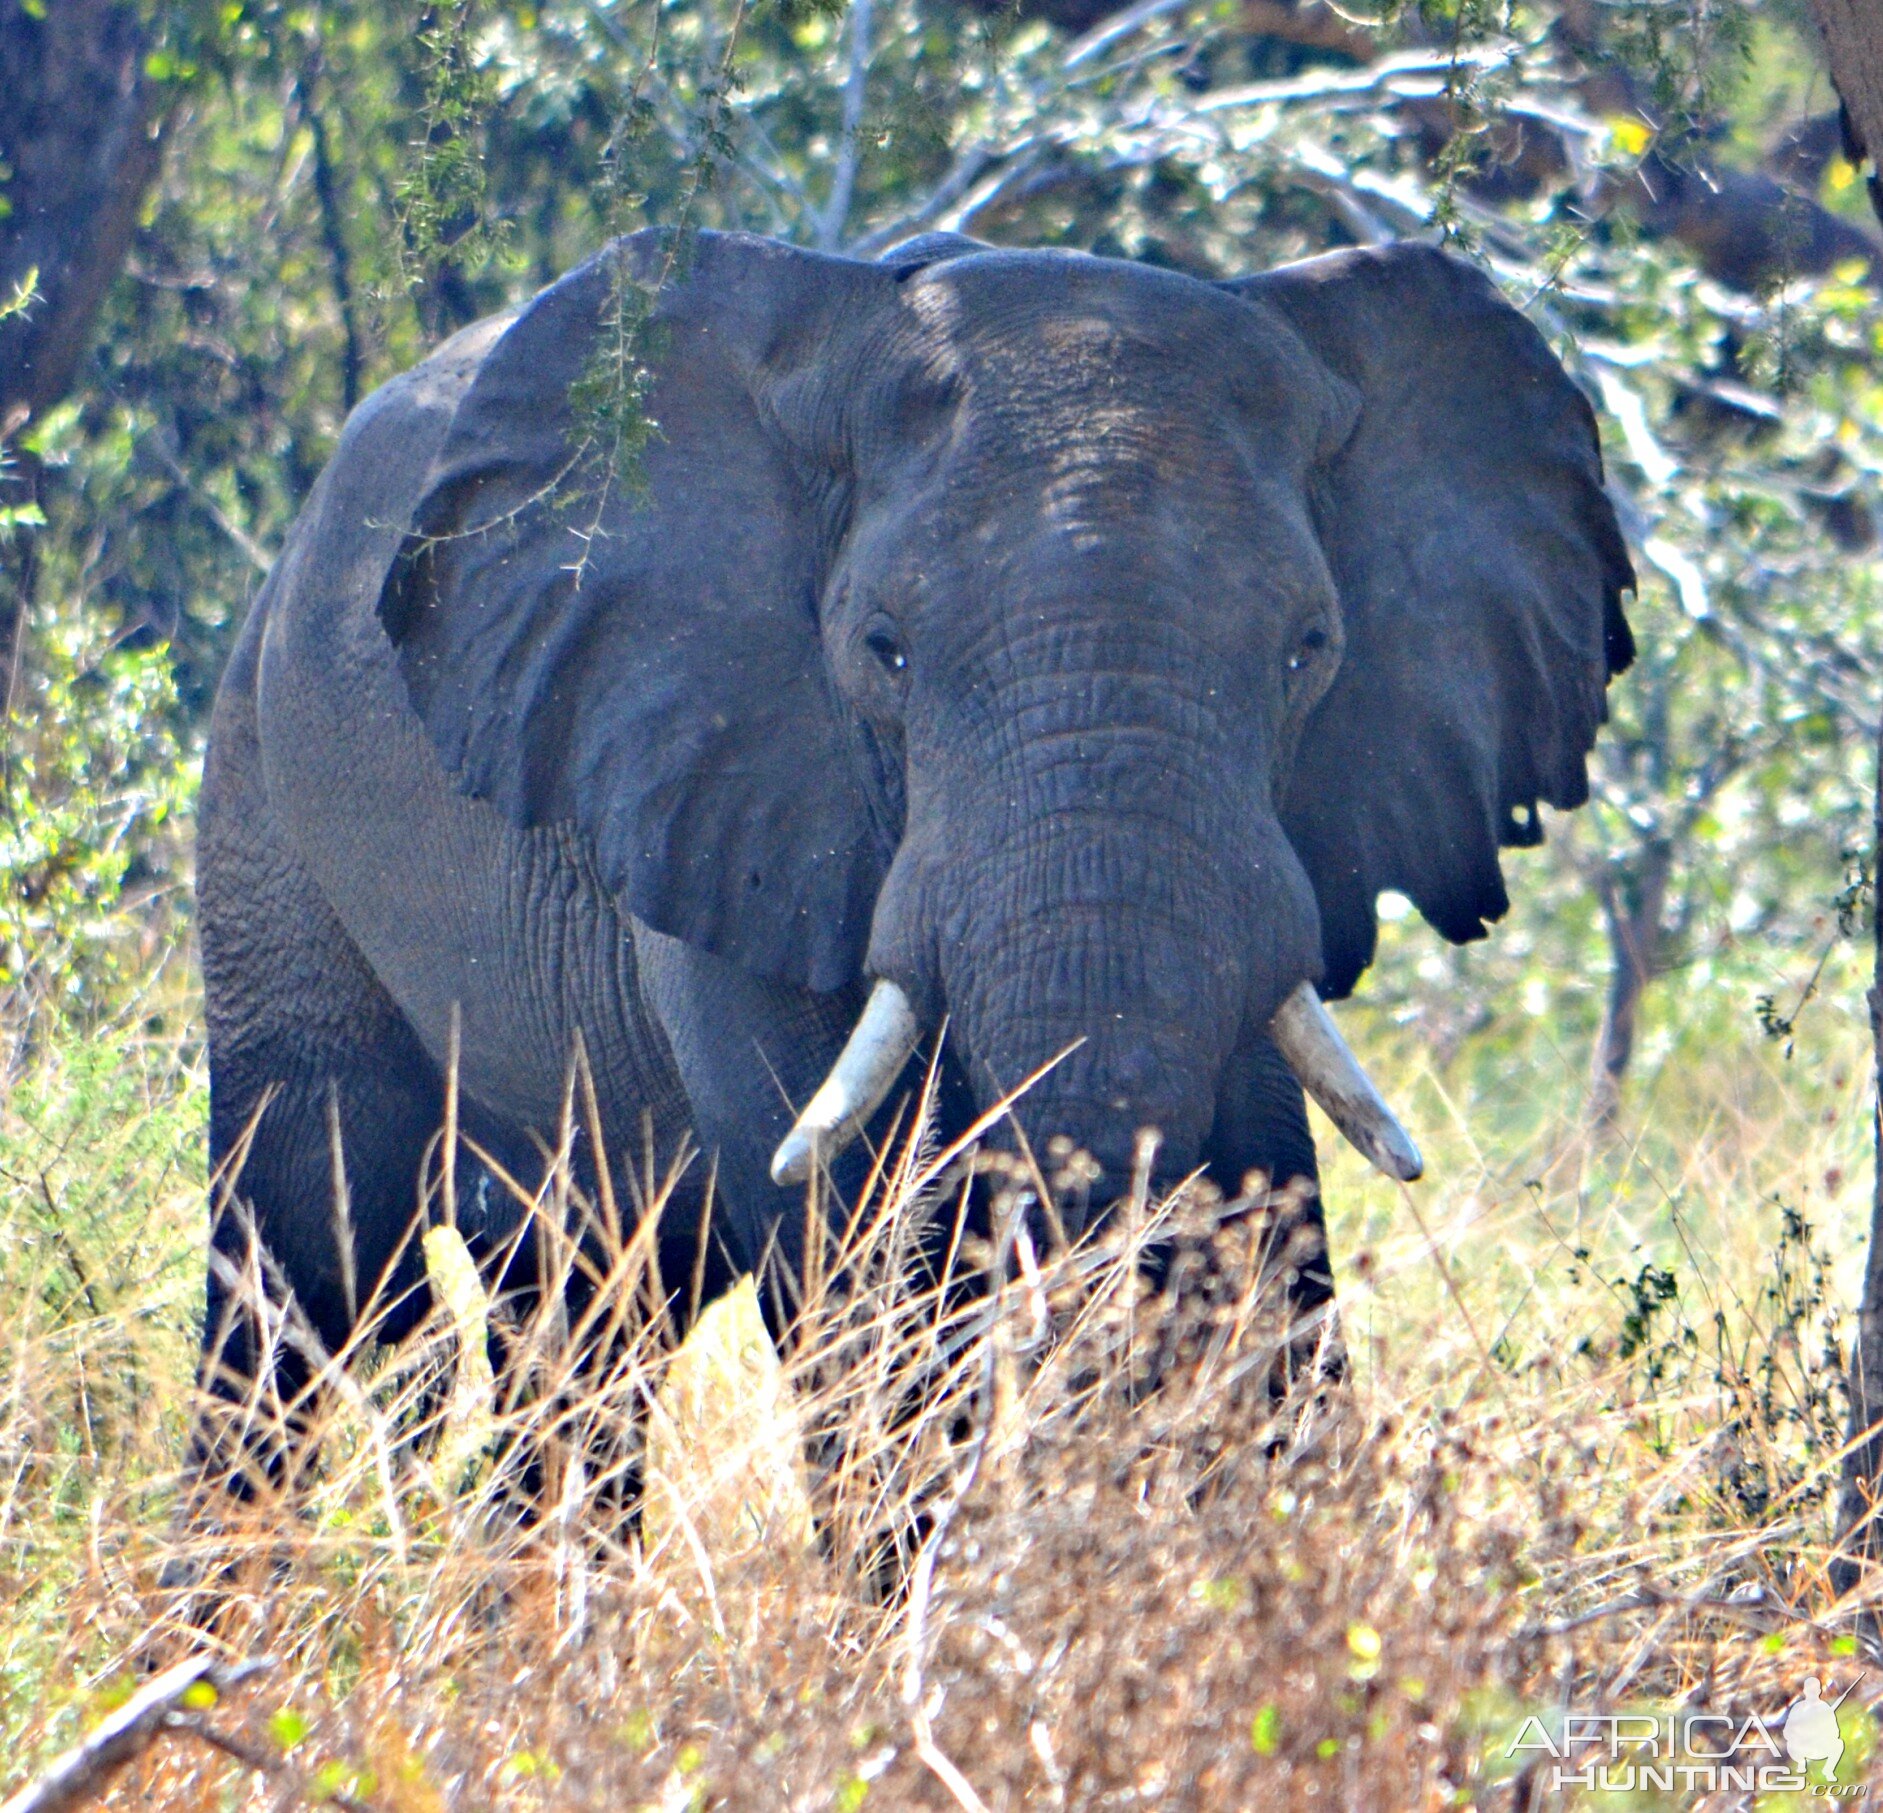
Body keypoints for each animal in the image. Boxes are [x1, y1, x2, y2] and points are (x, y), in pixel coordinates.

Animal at [194, 219, 1634, 1483]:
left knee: (580, 1326)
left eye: (1308, 651)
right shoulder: (726, 775)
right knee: (297, 1275)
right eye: (880, 649)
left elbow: (1271, 1222)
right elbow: (868, 1276)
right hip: (263, 805)